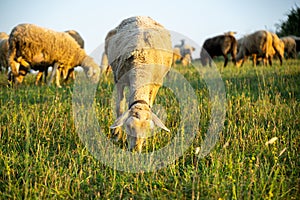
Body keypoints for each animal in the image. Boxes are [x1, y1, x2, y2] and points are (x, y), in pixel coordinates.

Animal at [105, 16, 173, 152]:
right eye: (129, 127)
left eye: (148, 130)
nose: (135, 150)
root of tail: (141, 17)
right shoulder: (119, 80)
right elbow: (119, 107)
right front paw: (117, 135)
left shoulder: (155, 84)